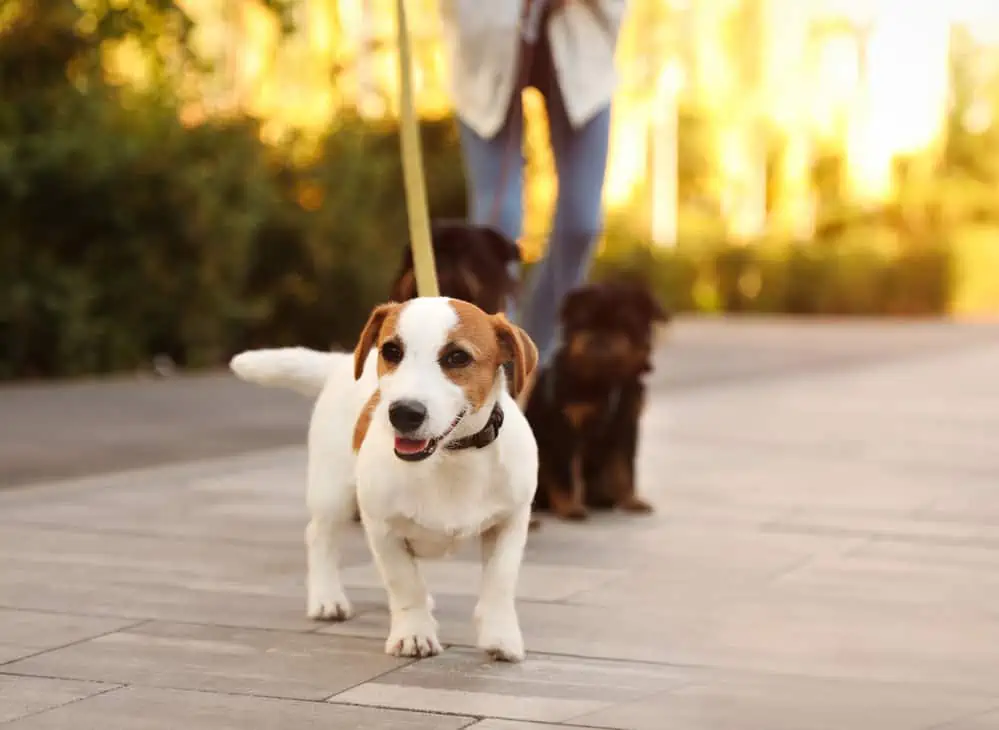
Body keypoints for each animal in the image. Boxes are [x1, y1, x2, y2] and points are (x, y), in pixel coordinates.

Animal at [236, 296, 540, 660]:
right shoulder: (383, 527)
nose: (404, 413)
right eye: (392, 351)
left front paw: (500, 637)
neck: (450, 458)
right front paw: (414, 633)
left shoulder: (510, 521)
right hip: (333, 493)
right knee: (320, 536)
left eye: (458, 357)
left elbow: (500, 581)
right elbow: (404, 583)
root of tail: (341, 363)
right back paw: (327, 598)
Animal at [524, 272, 672, 516]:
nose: (599, 336)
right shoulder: (566, 430)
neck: (605, 380)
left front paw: (631, 500)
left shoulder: (626, 429)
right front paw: (571, 507)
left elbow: (625, 469)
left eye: (623, 324)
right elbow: (568, 473)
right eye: (583, 323)